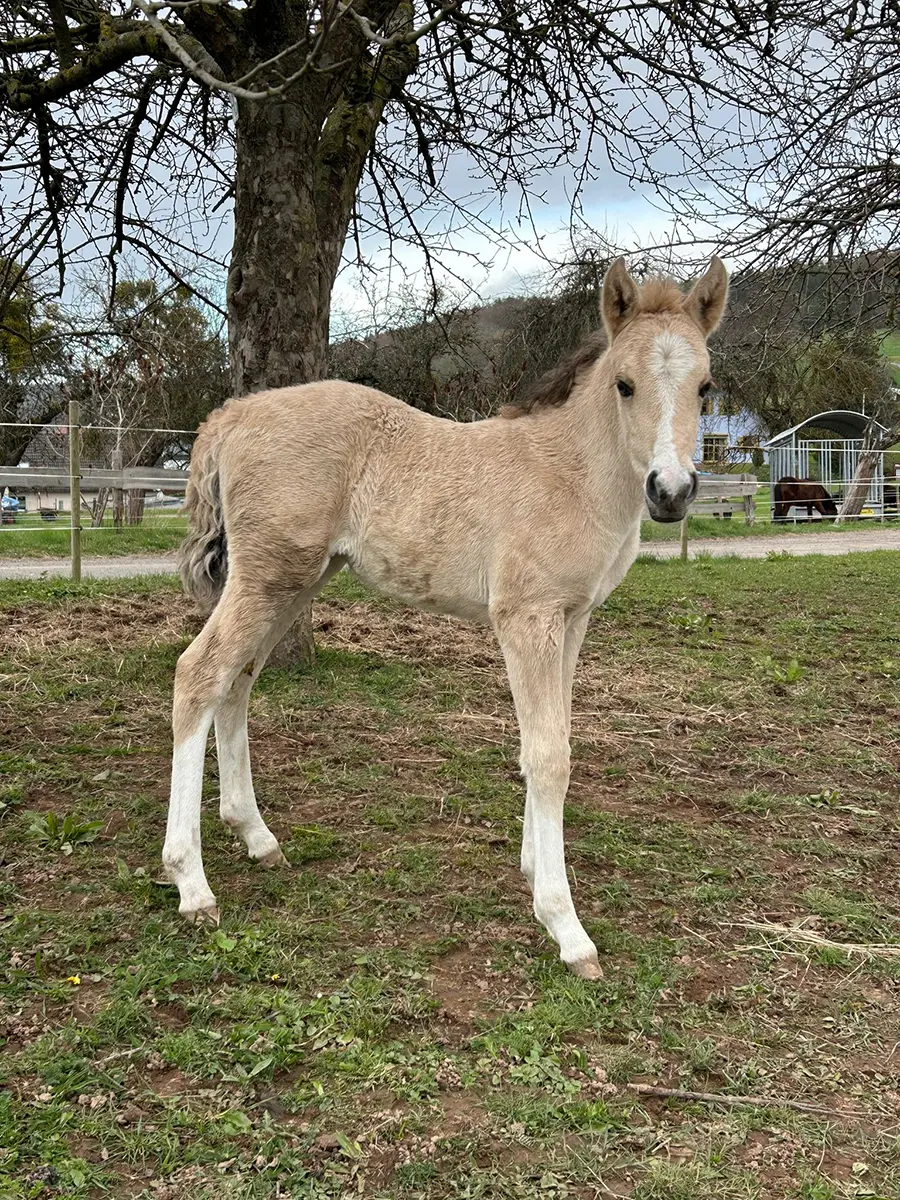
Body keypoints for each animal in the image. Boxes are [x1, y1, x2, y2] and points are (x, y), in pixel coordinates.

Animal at [164, 256, 728, 980]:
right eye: (624, 385)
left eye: (706, 386)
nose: (672, 491)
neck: (570, 473)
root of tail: (231, 414)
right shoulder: (527, 617)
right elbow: (549, 754)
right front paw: (565, 925)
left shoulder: (573, 619)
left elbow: (549, 739)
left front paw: (532, 867)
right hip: (267, 577)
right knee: (199, 675)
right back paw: (191, 883)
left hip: (293, 581)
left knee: (237, 682)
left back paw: (258, 838)